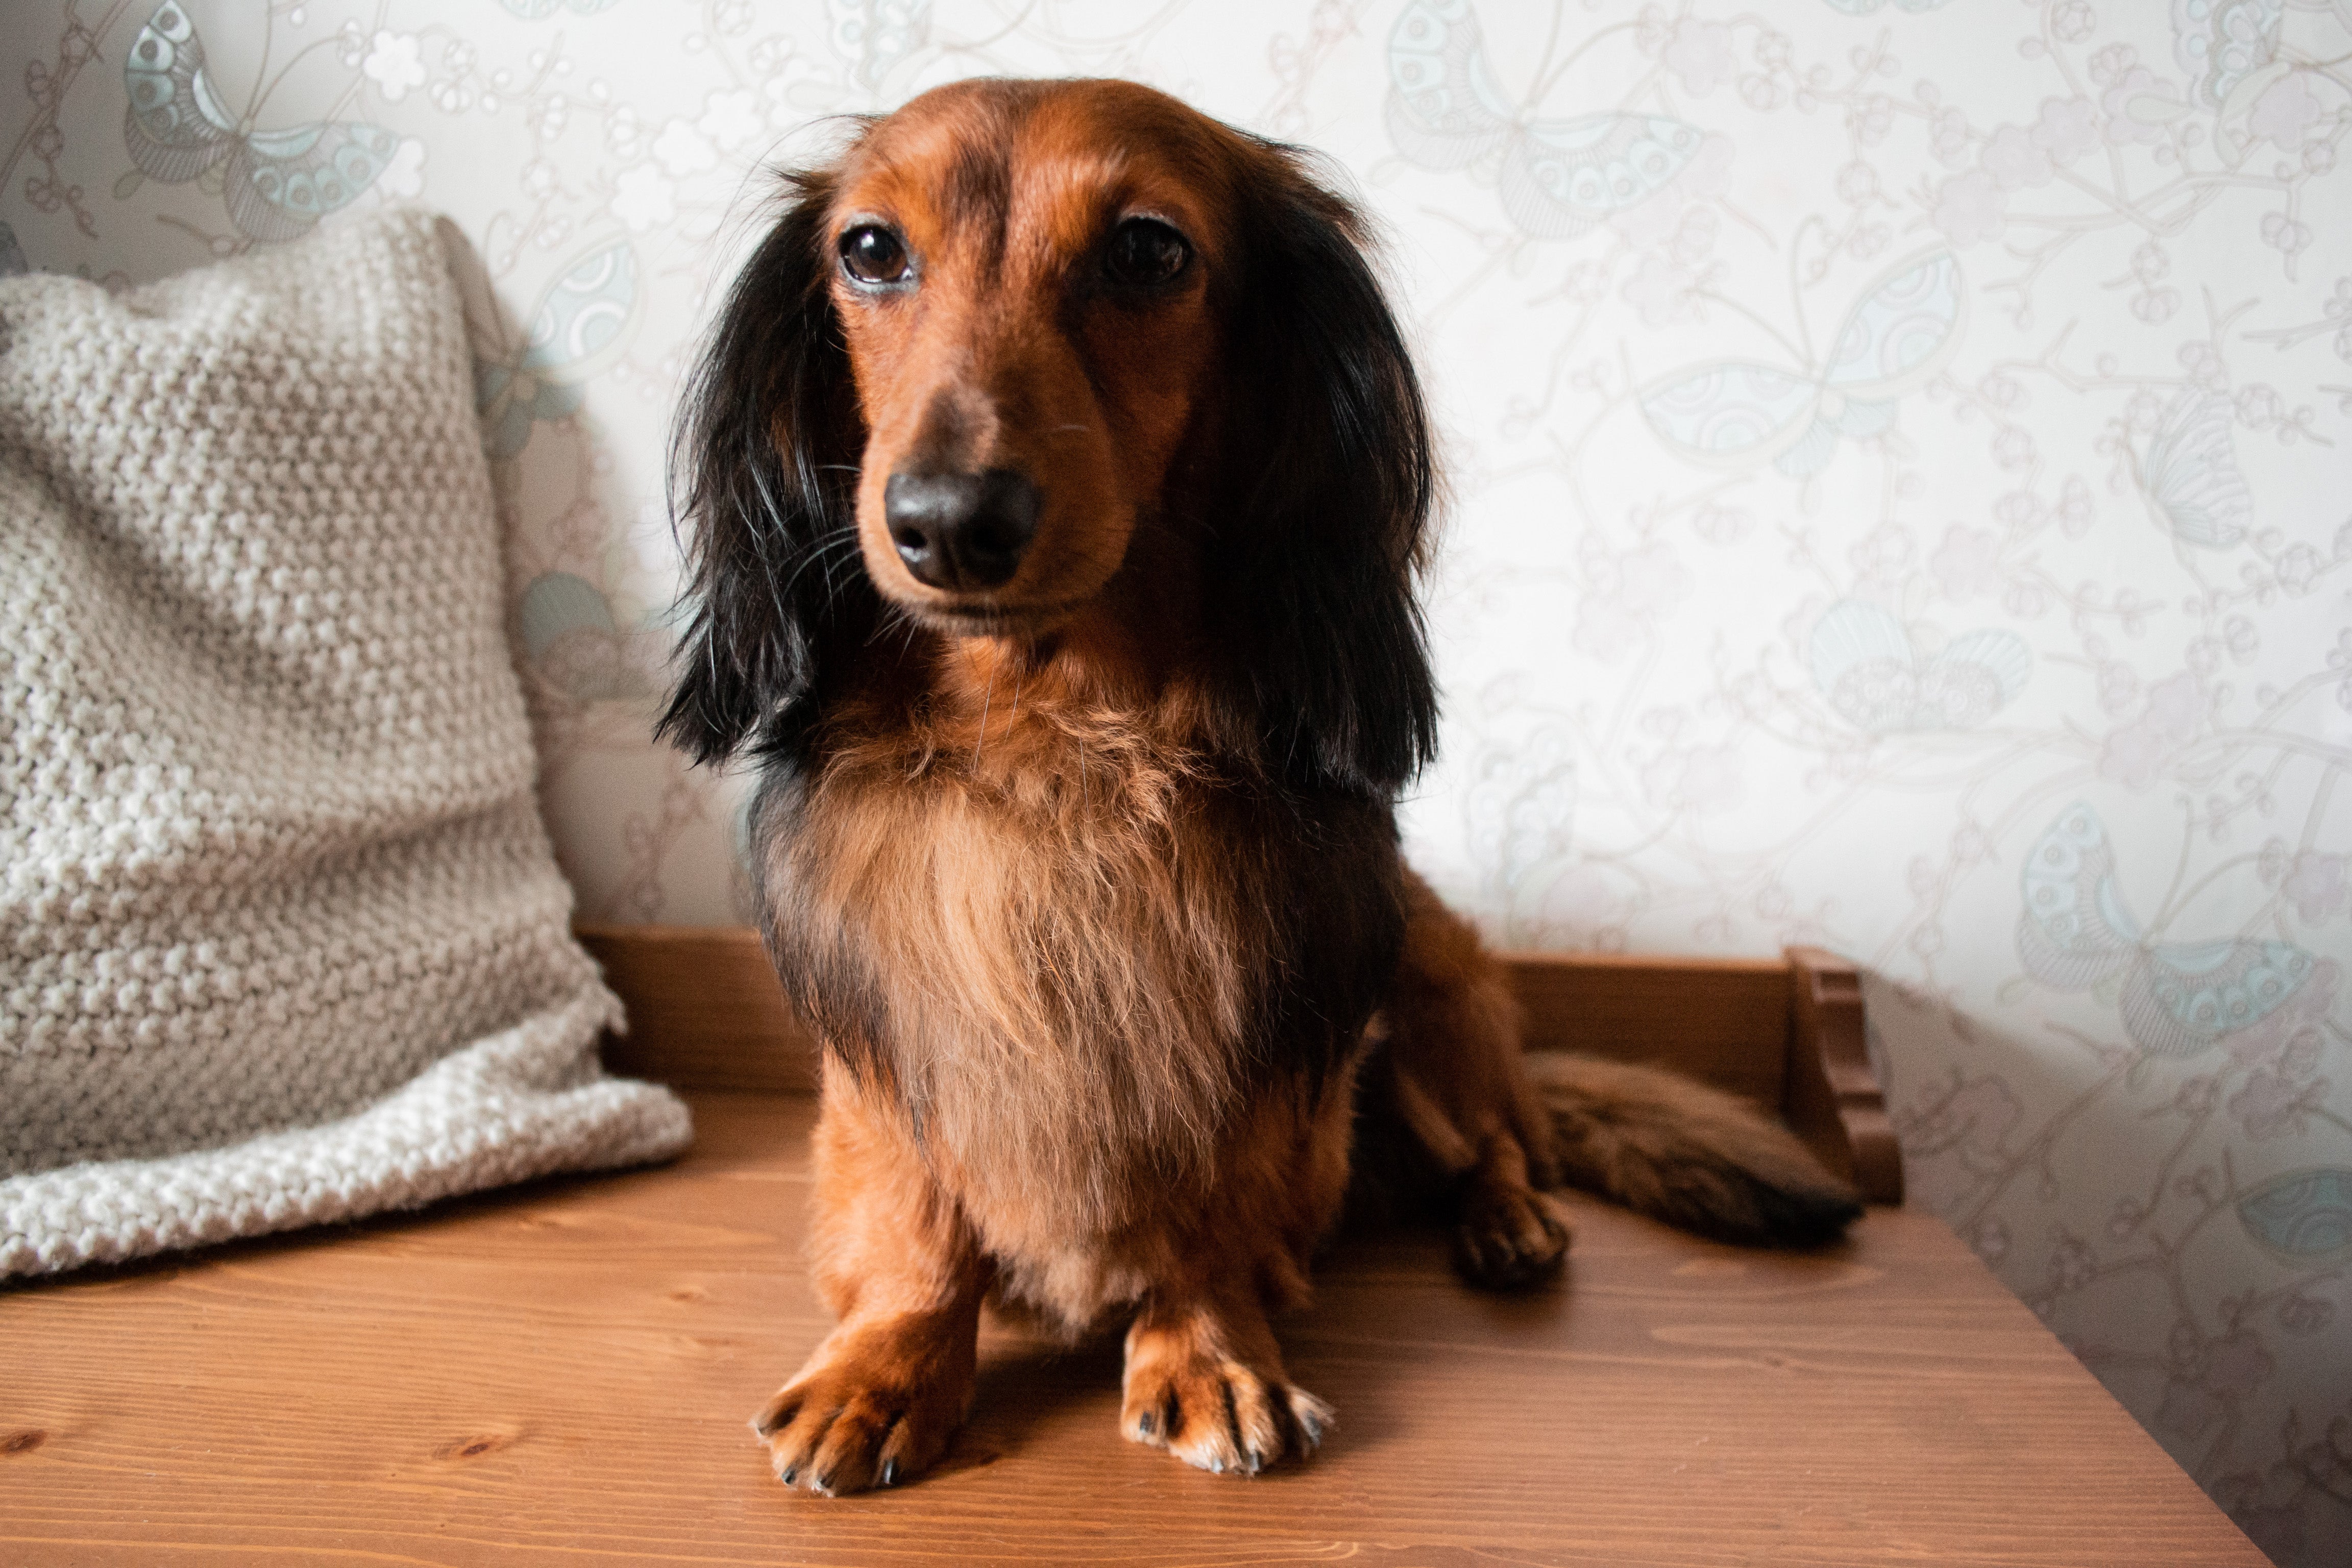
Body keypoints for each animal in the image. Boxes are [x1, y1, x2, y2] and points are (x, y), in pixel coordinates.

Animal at [658, 76, 1853, 1495]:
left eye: (1146, 250)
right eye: (869, 251)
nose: (947, 521)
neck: (1060, 746)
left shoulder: (1255, 1036)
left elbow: (1209, 1212)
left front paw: (1205, 1348)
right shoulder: (894, 1046)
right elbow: (916, 1222)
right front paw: (888, 1364)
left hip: (1420, 985)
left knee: (1501, 1141)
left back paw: (1509, 1219)